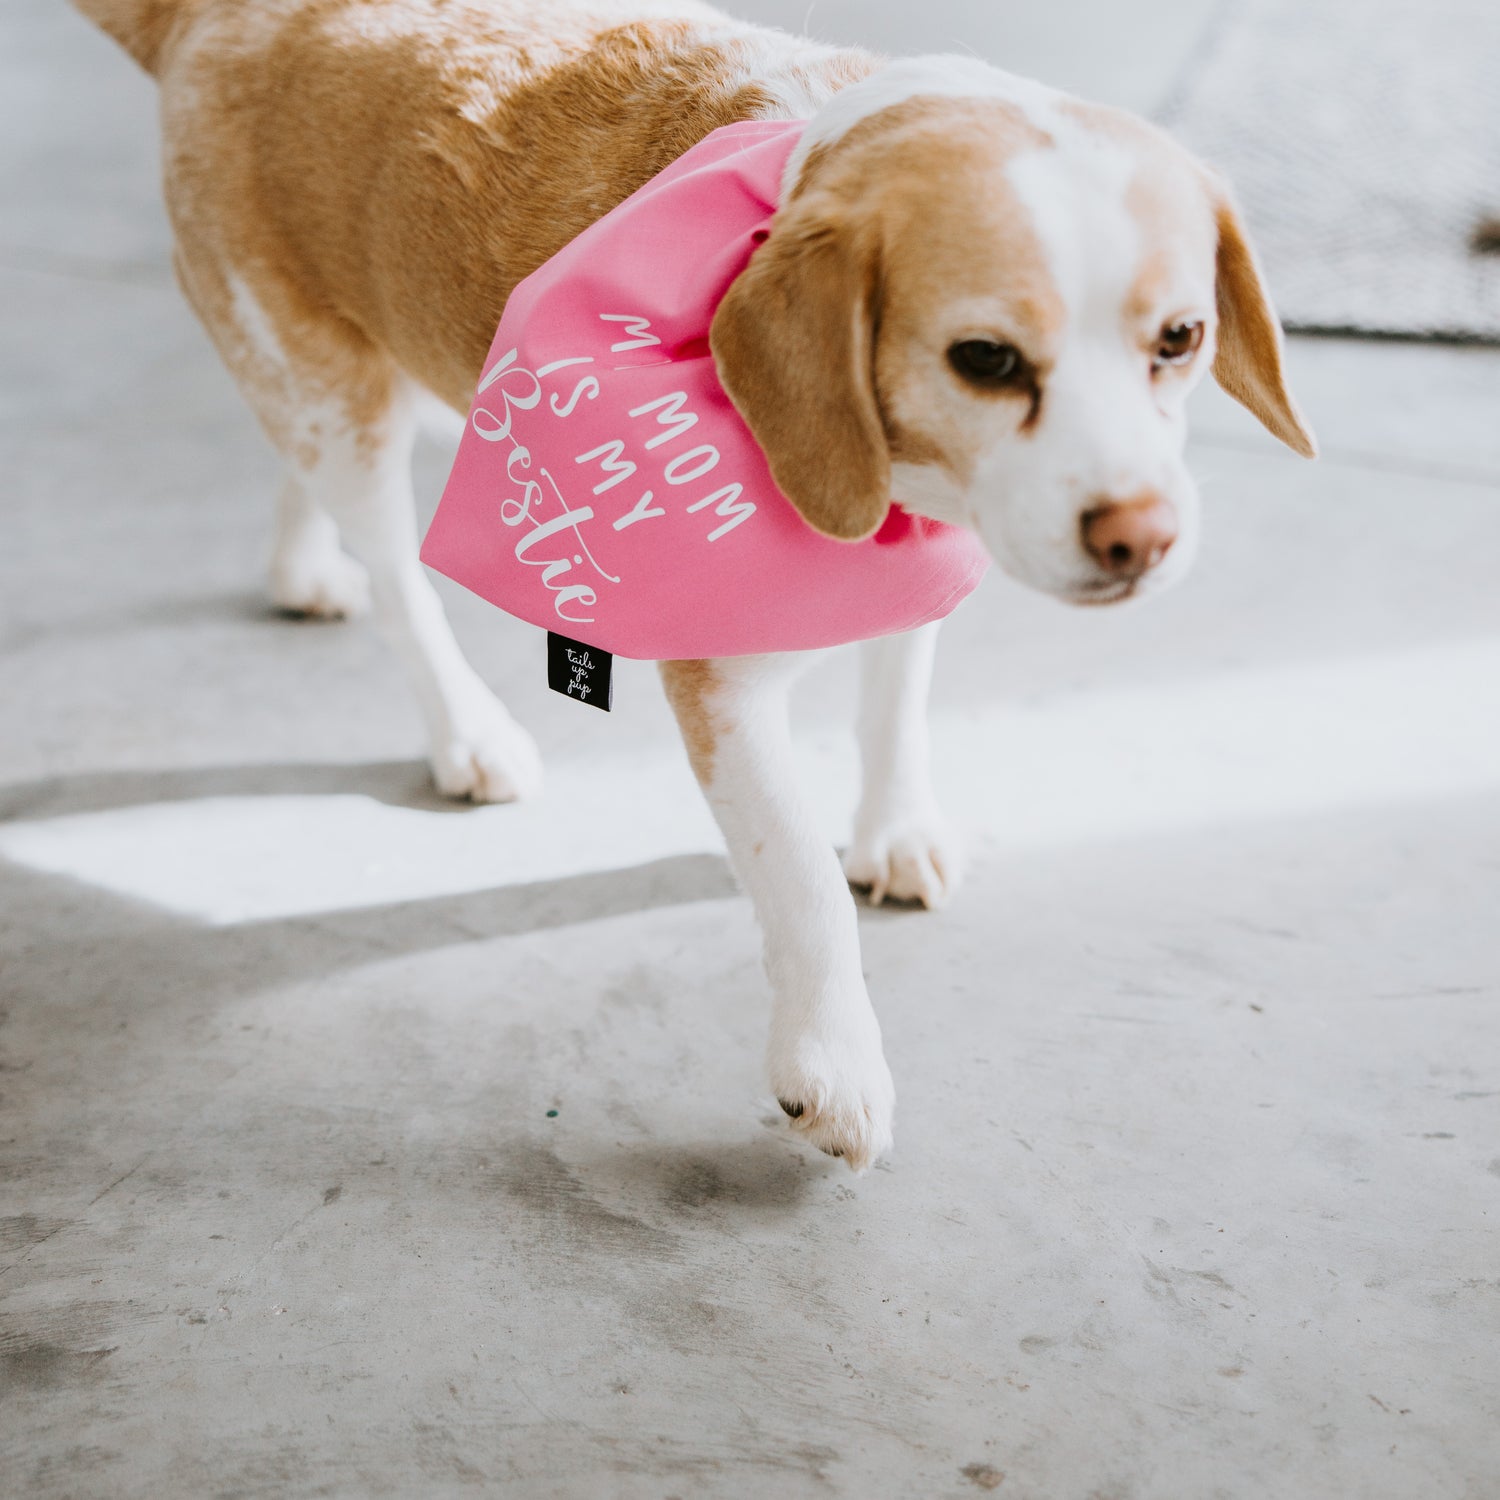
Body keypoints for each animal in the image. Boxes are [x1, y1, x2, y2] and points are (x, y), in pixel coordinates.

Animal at [73, 0, 1314, 1170]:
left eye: (1182, 337)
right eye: (986, 360)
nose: (1142, 539)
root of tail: (215, 17)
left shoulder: (924, 565)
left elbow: (894, 709)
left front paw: (895, 826)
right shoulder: (718, 691)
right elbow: (800, 881)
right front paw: (833, 1063)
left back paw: (301, 566)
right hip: (348, 413)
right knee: (394, 578)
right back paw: (464, 727)